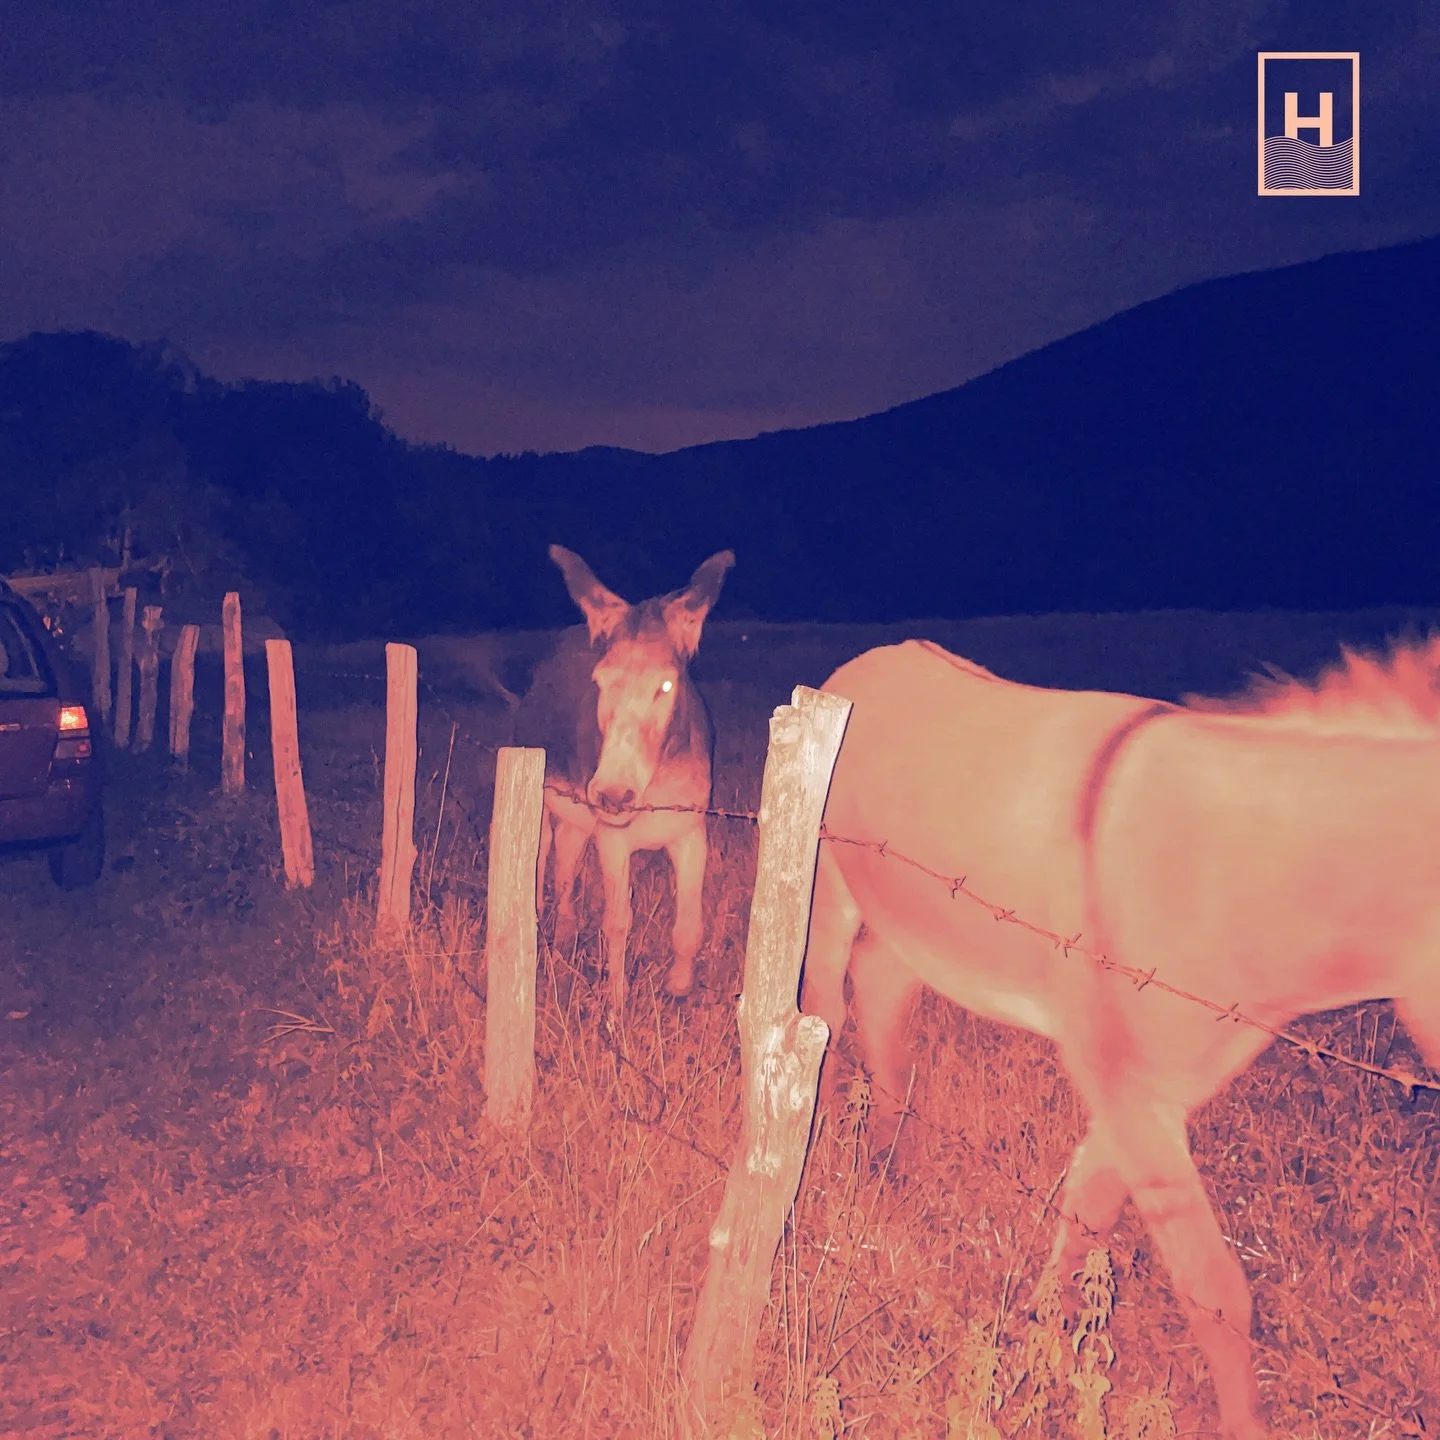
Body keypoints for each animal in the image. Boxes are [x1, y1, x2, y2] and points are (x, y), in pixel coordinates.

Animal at [514, 544, 734, 1016]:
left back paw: (563, 938)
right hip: (541, 802)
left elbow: (690, 923)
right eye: (599, 681)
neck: (656, 784)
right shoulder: (612, 839)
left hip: (578, 817)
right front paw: (614, 1005)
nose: (614, 795)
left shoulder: (690, 833)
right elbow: (617, 922)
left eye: (666, 685)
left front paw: (680, 990)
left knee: (565, 870)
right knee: (540, 864)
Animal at [799, 635, 1440, 1440]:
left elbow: (1086, 1207)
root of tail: (871, 658)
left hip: (913, 915)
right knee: (822, 1006)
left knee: (884, 986)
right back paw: (818, 1163)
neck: (1225, 871)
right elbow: (1216, 1293)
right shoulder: (1128, 1088)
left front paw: (1034, 1355)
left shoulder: (1145, 1091)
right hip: (830, 885)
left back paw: (892, 1164)